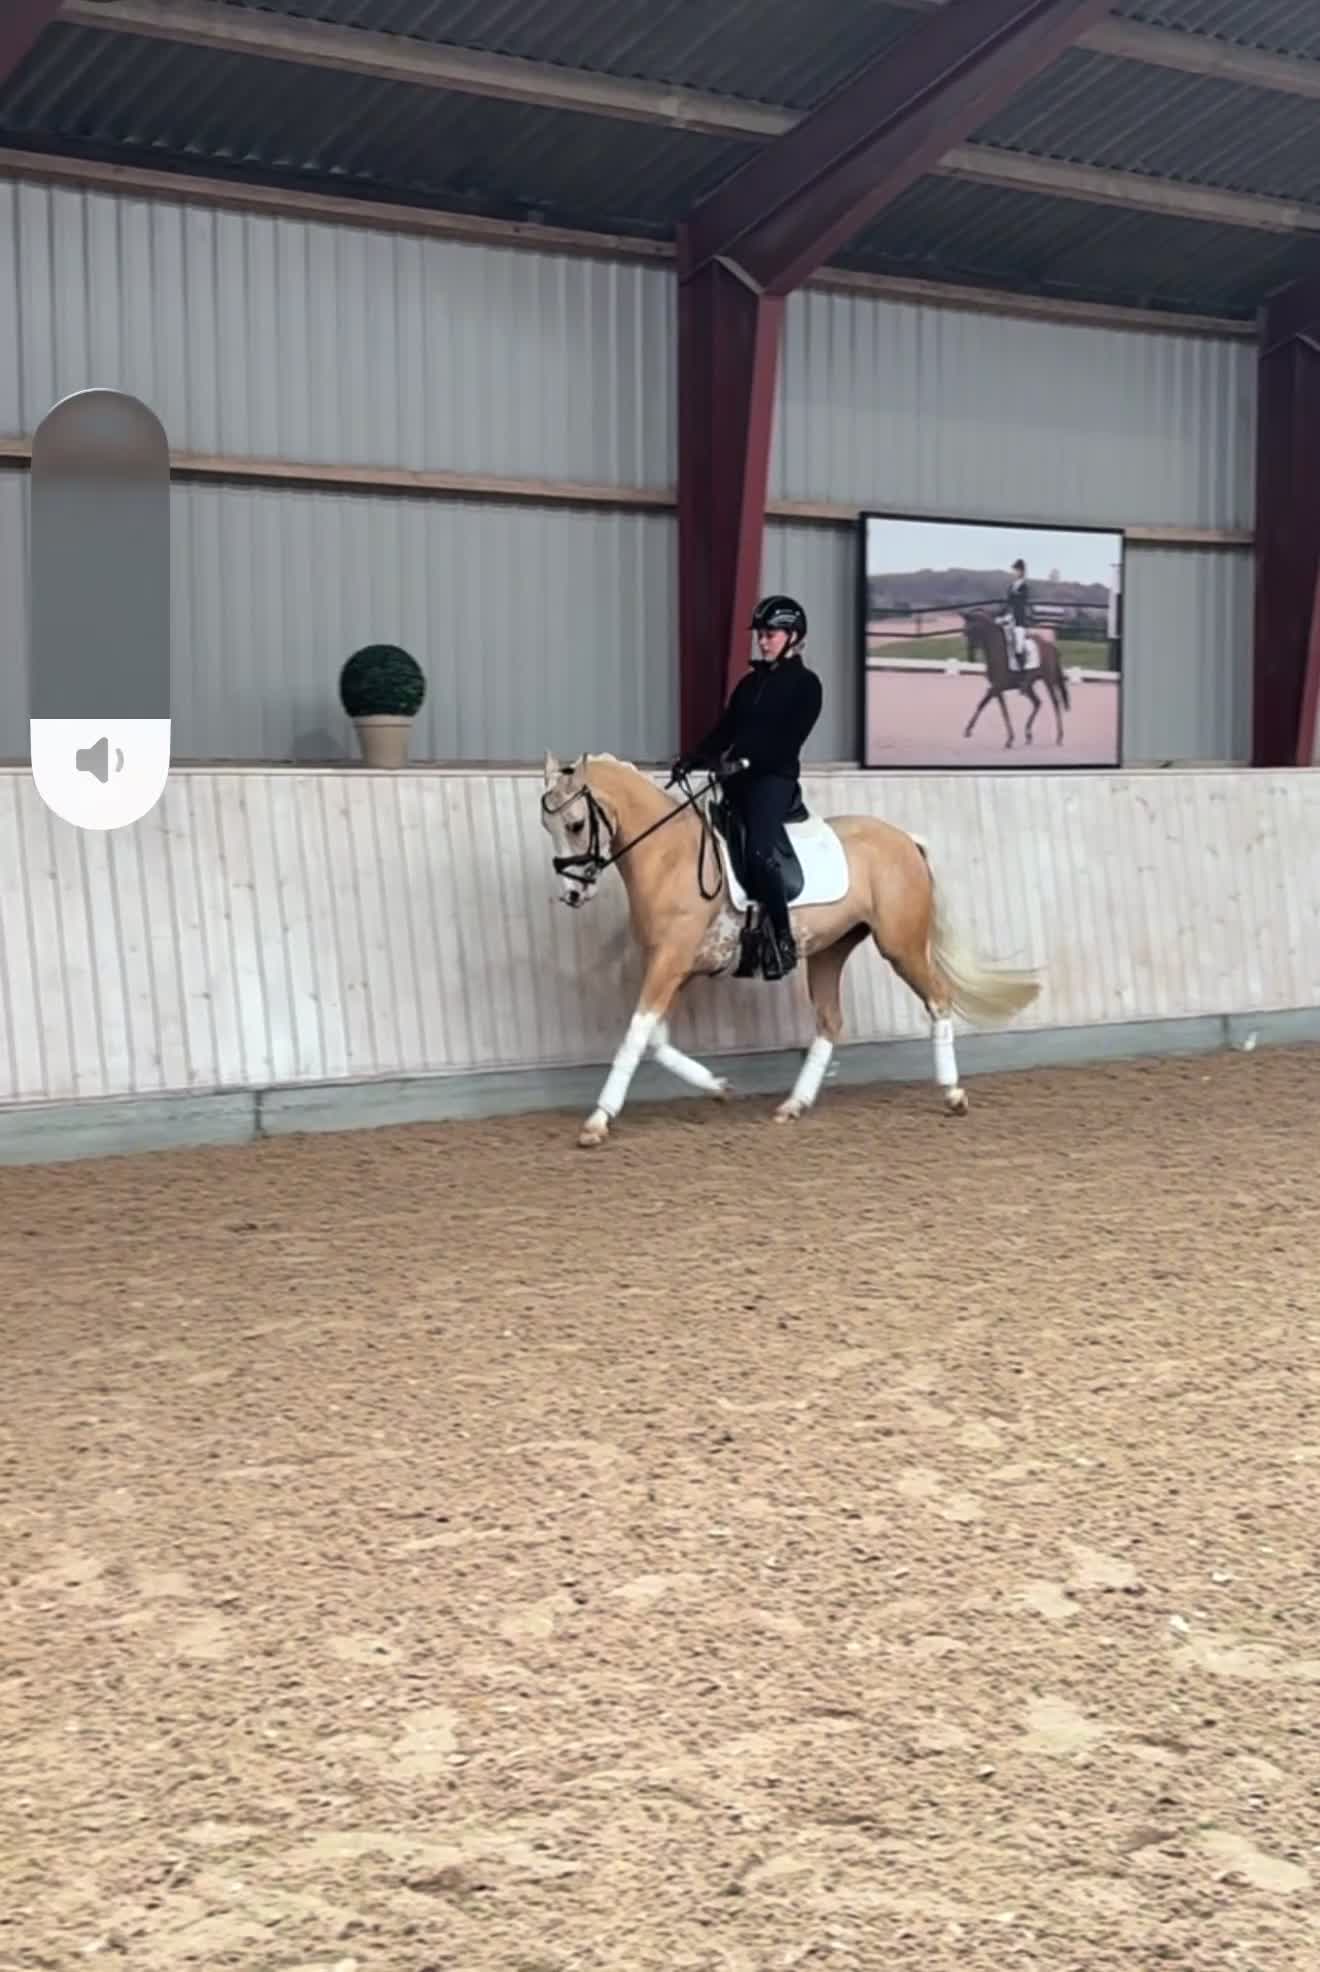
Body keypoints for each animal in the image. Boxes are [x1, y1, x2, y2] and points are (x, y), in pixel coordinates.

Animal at [539, 751, 1041, 1148]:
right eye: (548, 827)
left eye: (576, 824)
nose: (573, 893)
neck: (669, 857)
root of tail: (905, 840)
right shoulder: (674, 966)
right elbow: (656, 1040)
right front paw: (718, 1086)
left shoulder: (671, 962)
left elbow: (634, 1036)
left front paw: (598, 1120)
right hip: (829, 951)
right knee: (830, 1022)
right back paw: (793, 1105)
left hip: (900, 945)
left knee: (938, 999)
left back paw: (953, 1094)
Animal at [960, 609, 1071, 747]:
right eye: (965, 631)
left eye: (971, 629)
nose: (970, 656)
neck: (997, 649)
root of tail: (1050, 646)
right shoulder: (996, 688)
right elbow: (999, 710)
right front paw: (1010, 738)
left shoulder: (997, 686)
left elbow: (986, 704)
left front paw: (968, 730)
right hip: (1029, 686)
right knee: (1037, 702)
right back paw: (1028, 735)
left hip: (1049, 680)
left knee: (1055, 703)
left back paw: (1059, 737)